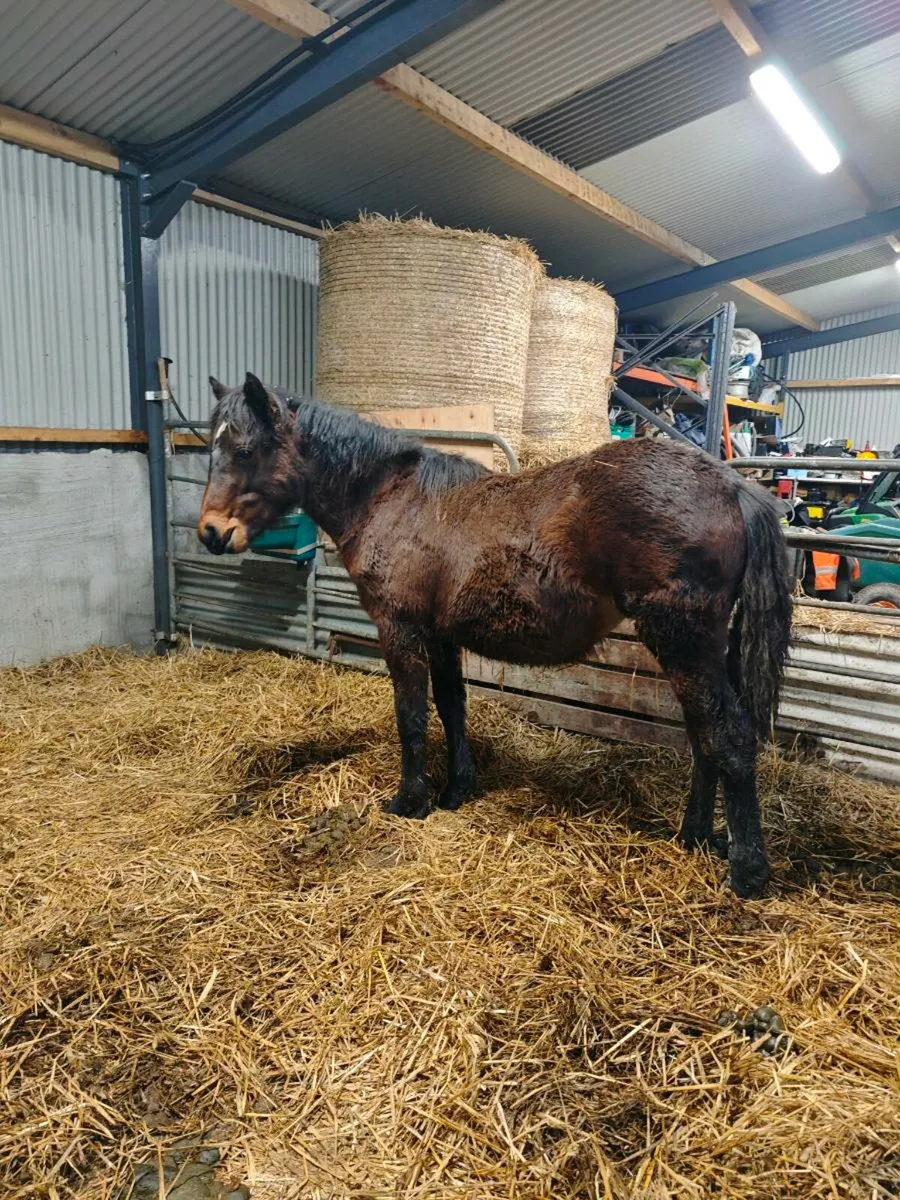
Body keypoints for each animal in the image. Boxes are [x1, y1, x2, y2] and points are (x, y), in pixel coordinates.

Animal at [198, 373, 792, 898]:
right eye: (212, 448)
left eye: (246, 450)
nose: (210, 532)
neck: (393, 499)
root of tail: (734, 487)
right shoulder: (441, 635)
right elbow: (451, 707)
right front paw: (457, 789)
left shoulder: (401, 629)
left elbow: (412, 716)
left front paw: (409, 802)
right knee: (703, 737)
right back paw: (694, 836)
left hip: (682, 642)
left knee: (727, 739)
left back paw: (747, 871)